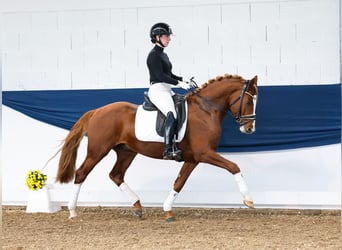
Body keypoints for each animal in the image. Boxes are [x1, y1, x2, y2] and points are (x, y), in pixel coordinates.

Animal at [56, 73, 260, 222]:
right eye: (249, 101)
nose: (249, 129)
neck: (205, 109)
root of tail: (96, 111)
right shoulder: (204, 153)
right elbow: (234, 167)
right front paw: (249, 200)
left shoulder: (193, 158)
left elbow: (179, 182)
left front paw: (168, 210)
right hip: (98, 151)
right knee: (81, 173)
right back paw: (73, 212)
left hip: (126, 152)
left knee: (116, 175)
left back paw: (138, 207)